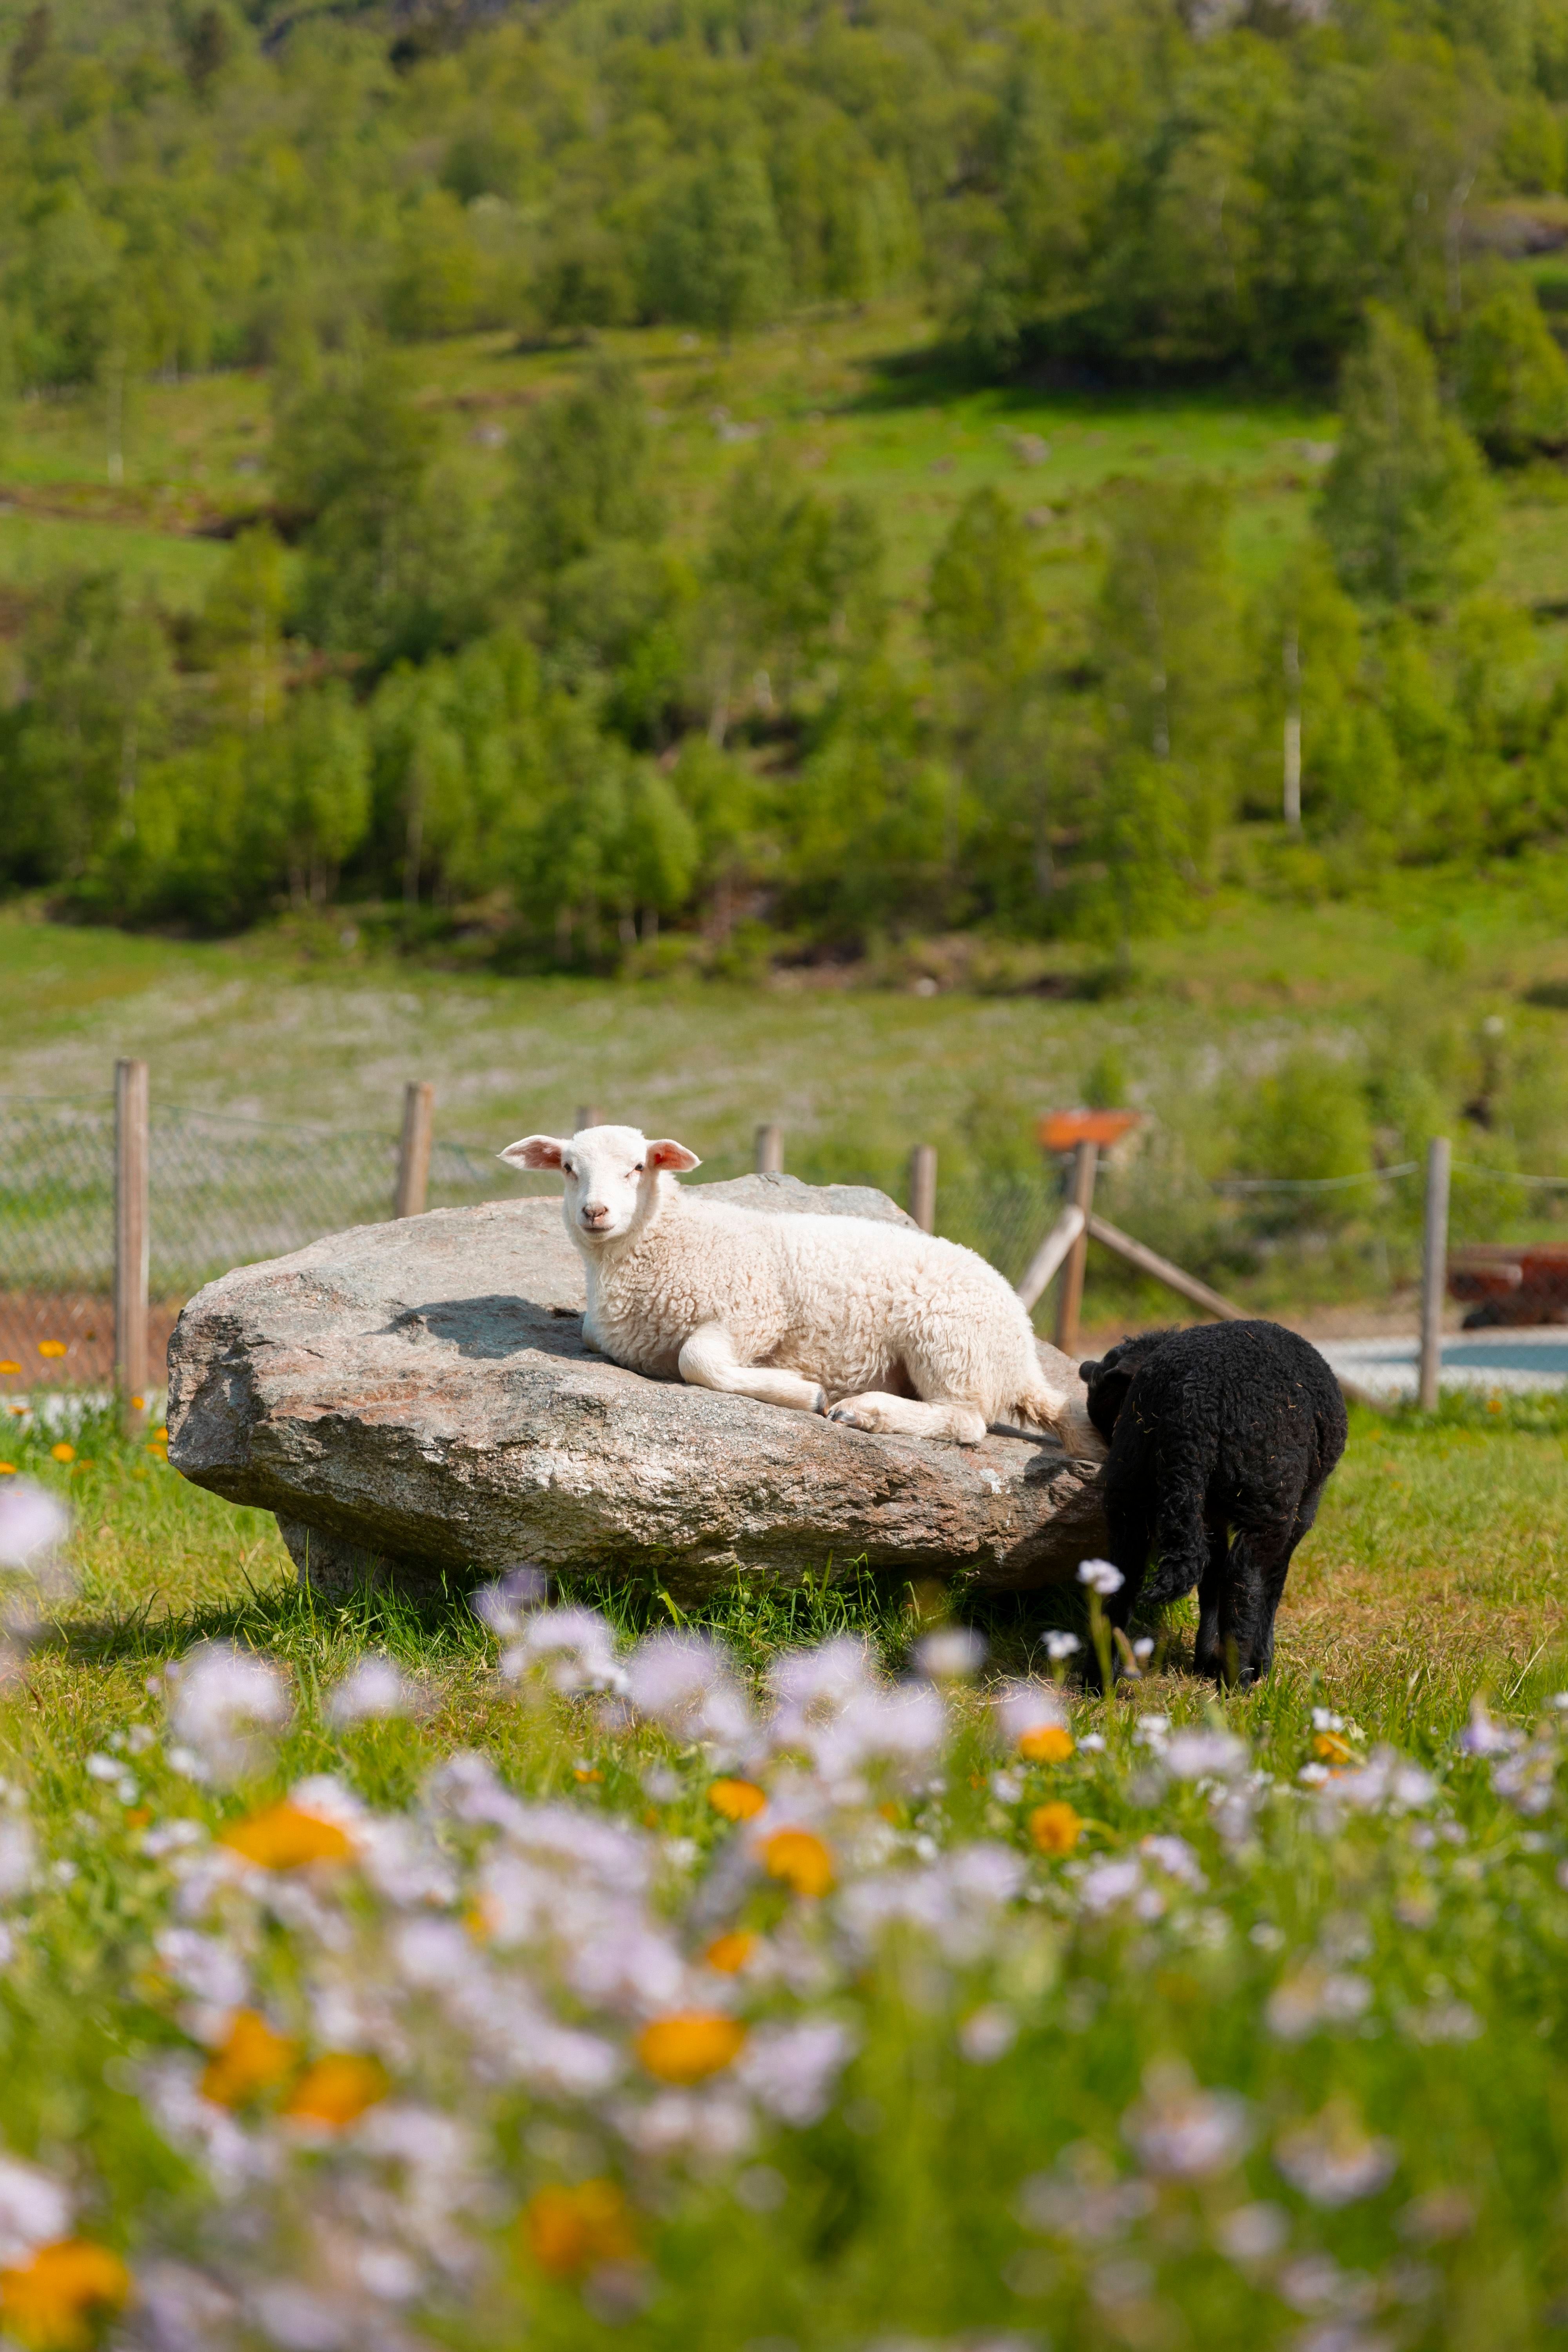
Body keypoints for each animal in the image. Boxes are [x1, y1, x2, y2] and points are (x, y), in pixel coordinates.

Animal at [496, 1124, 1103, 1456]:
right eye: (568, 1168)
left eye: (638, 1168)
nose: (594, 1212)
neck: (668, 1239)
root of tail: (1022, 1359)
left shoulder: (755, 1311)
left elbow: (697, 1361)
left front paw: (801, 1391)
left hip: (948, 1341)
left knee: (966, 1420)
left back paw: (864, 1412)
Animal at [1077, 1321, 1348, 1687]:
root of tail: (1192, 1406)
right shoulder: (1304, 1507)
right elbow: (1273, 1579)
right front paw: (1260, 1663)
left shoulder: (1208, 1514)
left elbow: (1211, 1578)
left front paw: (1205, 1660)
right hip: (1269, 1496)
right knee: (1244, 1579)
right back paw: (1240, 1680)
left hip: (1130, 1490)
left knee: (1124, 1578)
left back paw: (1098, 1682)